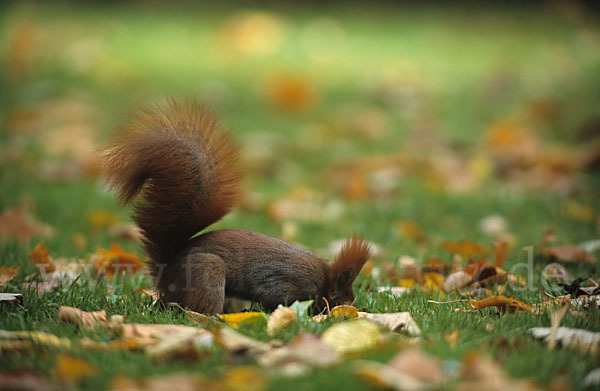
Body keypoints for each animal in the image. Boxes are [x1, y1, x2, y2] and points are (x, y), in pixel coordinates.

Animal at [102, 100, 370, 316]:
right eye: (342, 299)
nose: (350, 310)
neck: (324, 280)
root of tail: (166, 272)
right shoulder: (287, 284)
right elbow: (276, 299)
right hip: (206, 273)